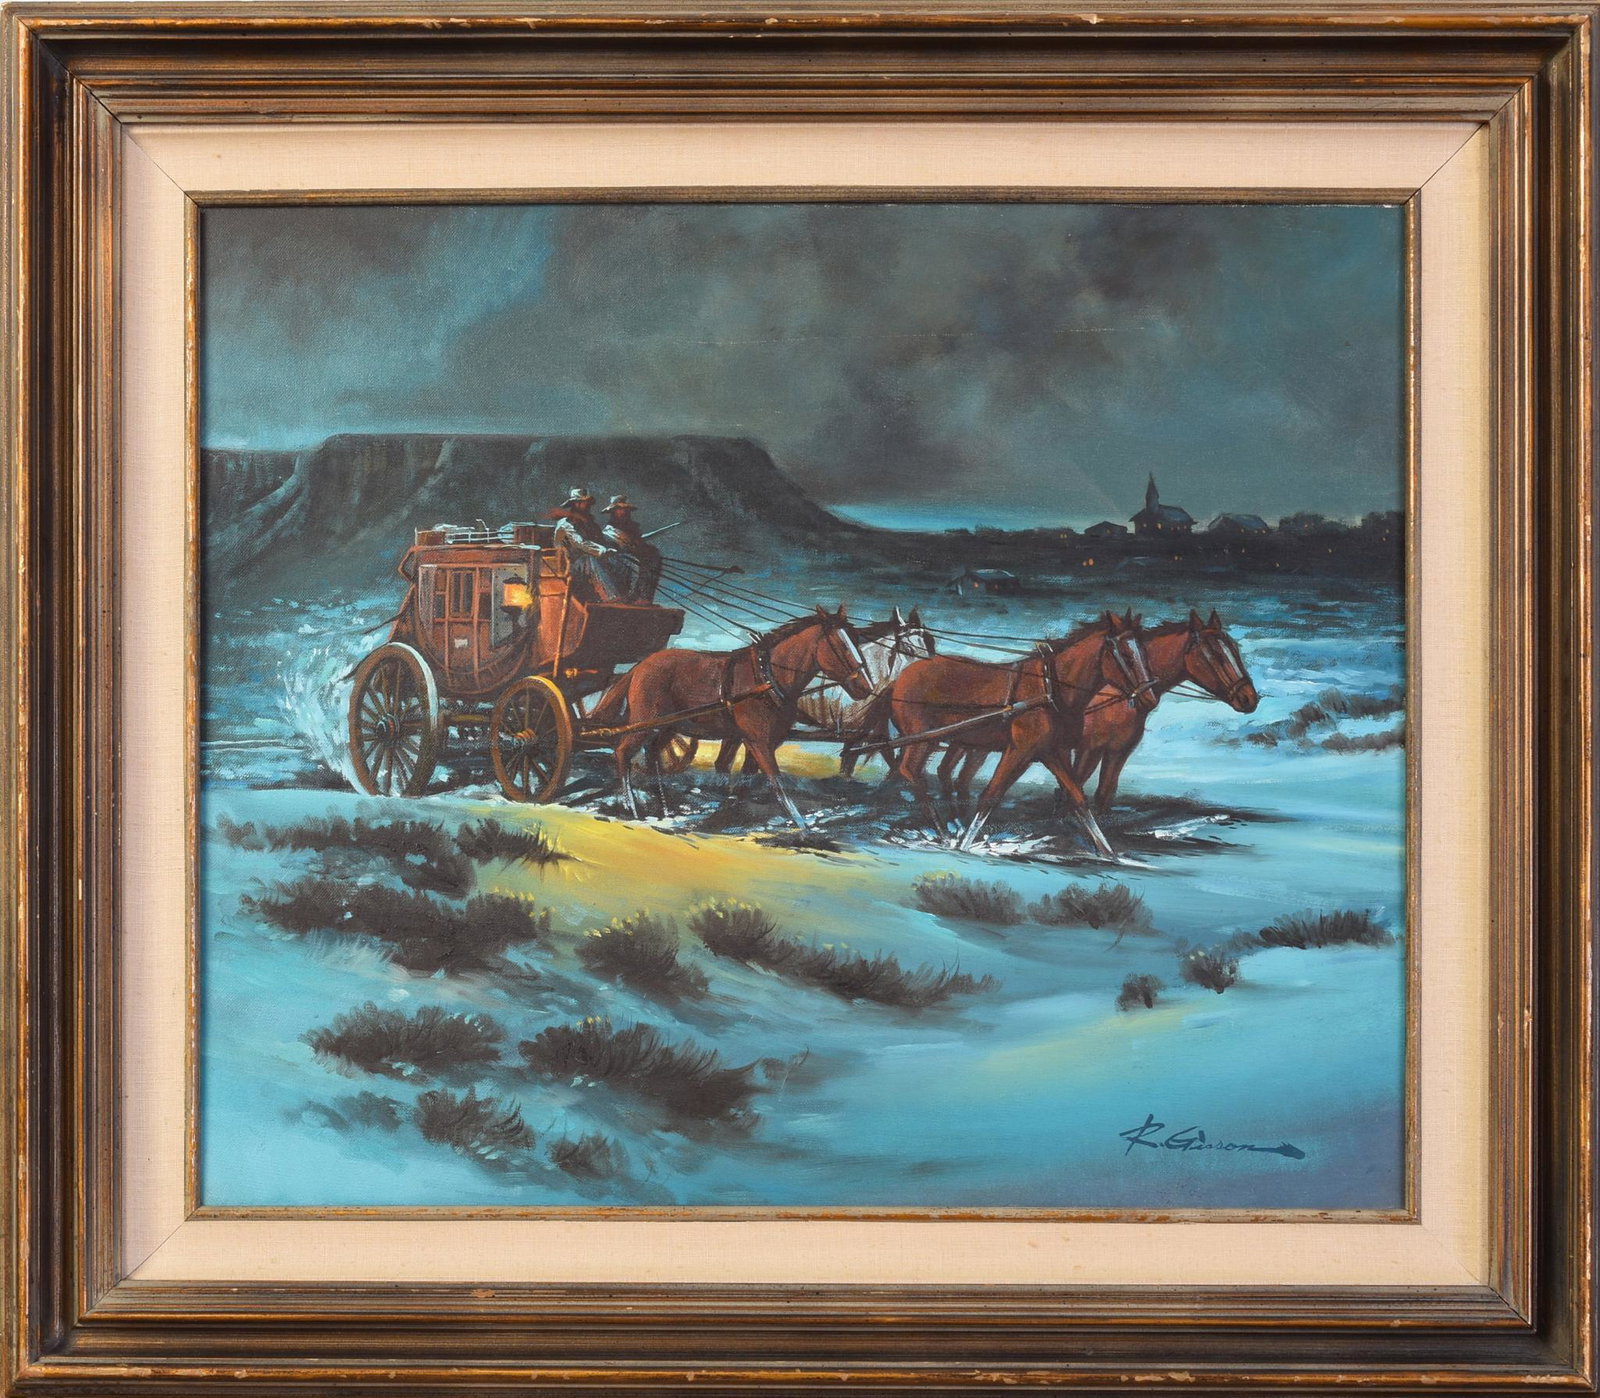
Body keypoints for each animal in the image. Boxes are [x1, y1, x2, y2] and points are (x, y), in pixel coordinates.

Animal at [589, 606, 874, 828]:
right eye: (840, 646)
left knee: (653, 754)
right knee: (623, 753)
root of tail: (639, 666)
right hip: (644, 724)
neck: (767, 678)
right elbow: (778, 785)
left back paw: (663, 805)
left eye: (856, 642)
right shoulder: (759, 742)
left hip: (670, 725)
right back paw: (632, 808)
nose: (867, 687)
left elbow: (745, 781)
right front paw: (802, 827)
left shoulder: (756, 743)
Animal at [886, 611, 1158, 858]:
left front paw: (1108, 852)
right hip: (923, 740)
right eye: (1127, 657)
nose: (1149, 698)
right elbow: (990, 796)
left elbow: (1078, 797)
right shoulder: (1019, 751)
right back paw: (943, 831)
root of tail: (903, 677)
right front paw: (965, 846)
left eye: (1144, 654)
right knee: (911, 771)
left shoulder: (1053, 752)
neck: (1050, 687)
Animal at [936, 609, 1258, 816]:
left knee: (955, 775)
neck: (1116, 695)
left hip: (974, 744)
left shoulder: (1117, 752)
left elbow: (1103, 794)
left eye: (1235, 650)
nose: (1249, 699)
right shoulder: (1087, 750)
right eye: (1217, 655)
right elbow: (1070, 791)